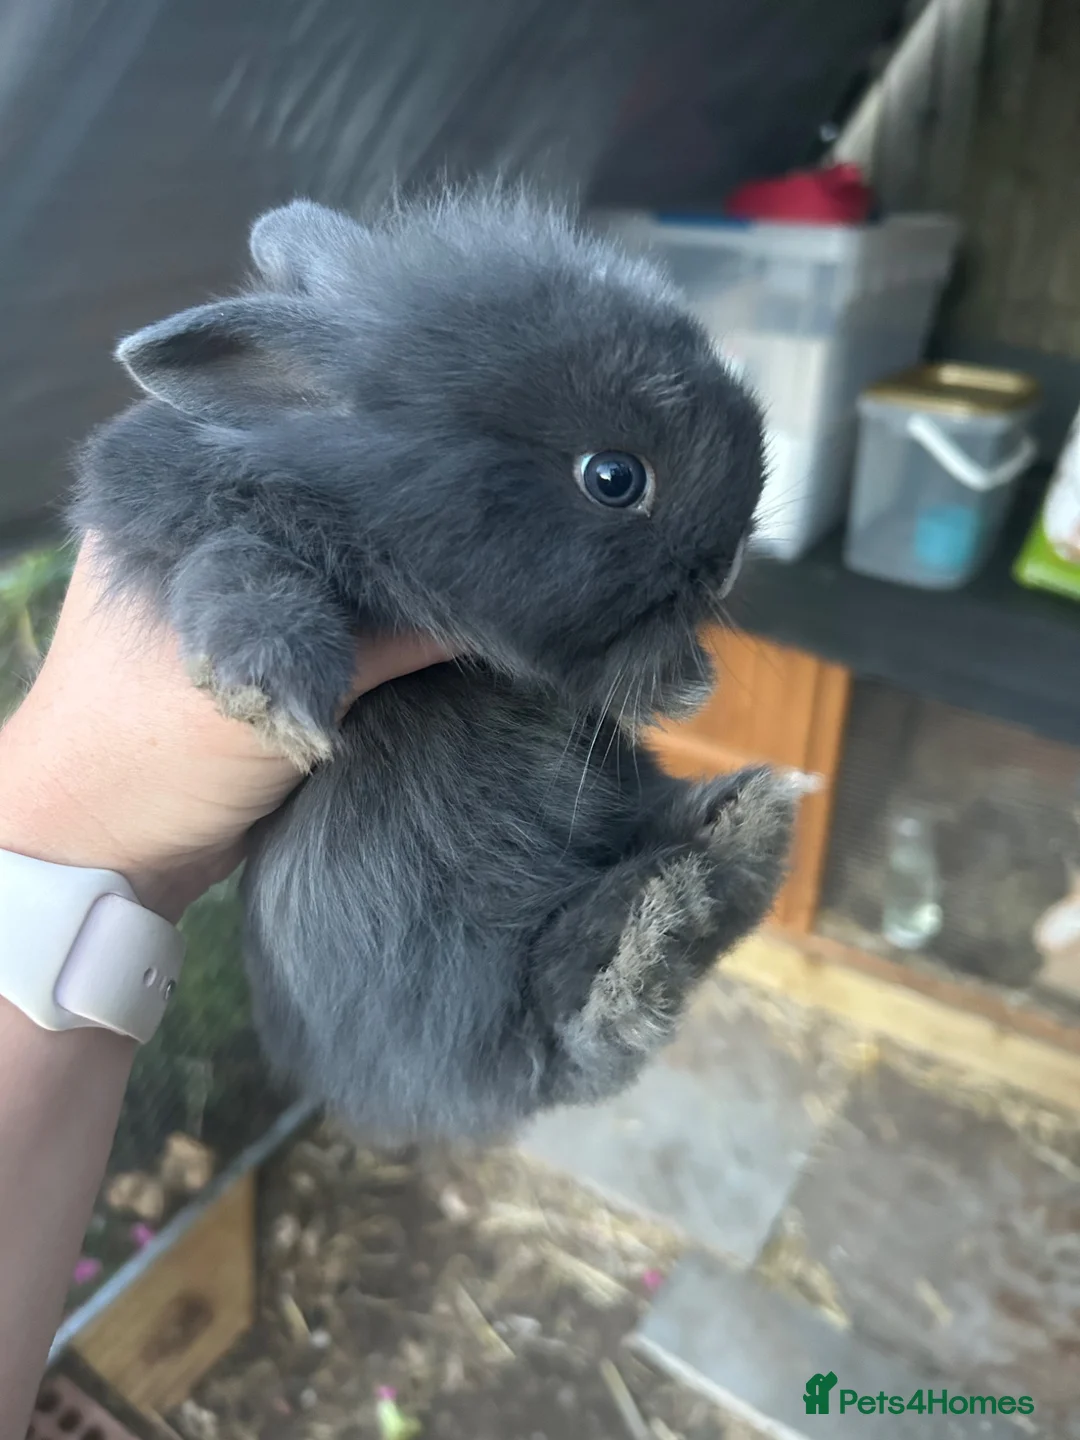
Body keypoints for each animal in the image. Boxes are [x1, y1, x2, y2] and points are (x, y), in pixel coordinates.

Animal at [71, 185, 796, 1141]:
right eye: (614, 477)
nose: (732, 561)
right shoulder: (204, 528)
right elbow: (238, 568)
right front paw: (269, 699)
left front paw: (688, 684)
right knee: (565, 1016)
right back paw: (660, 929)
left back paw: (733, 837)